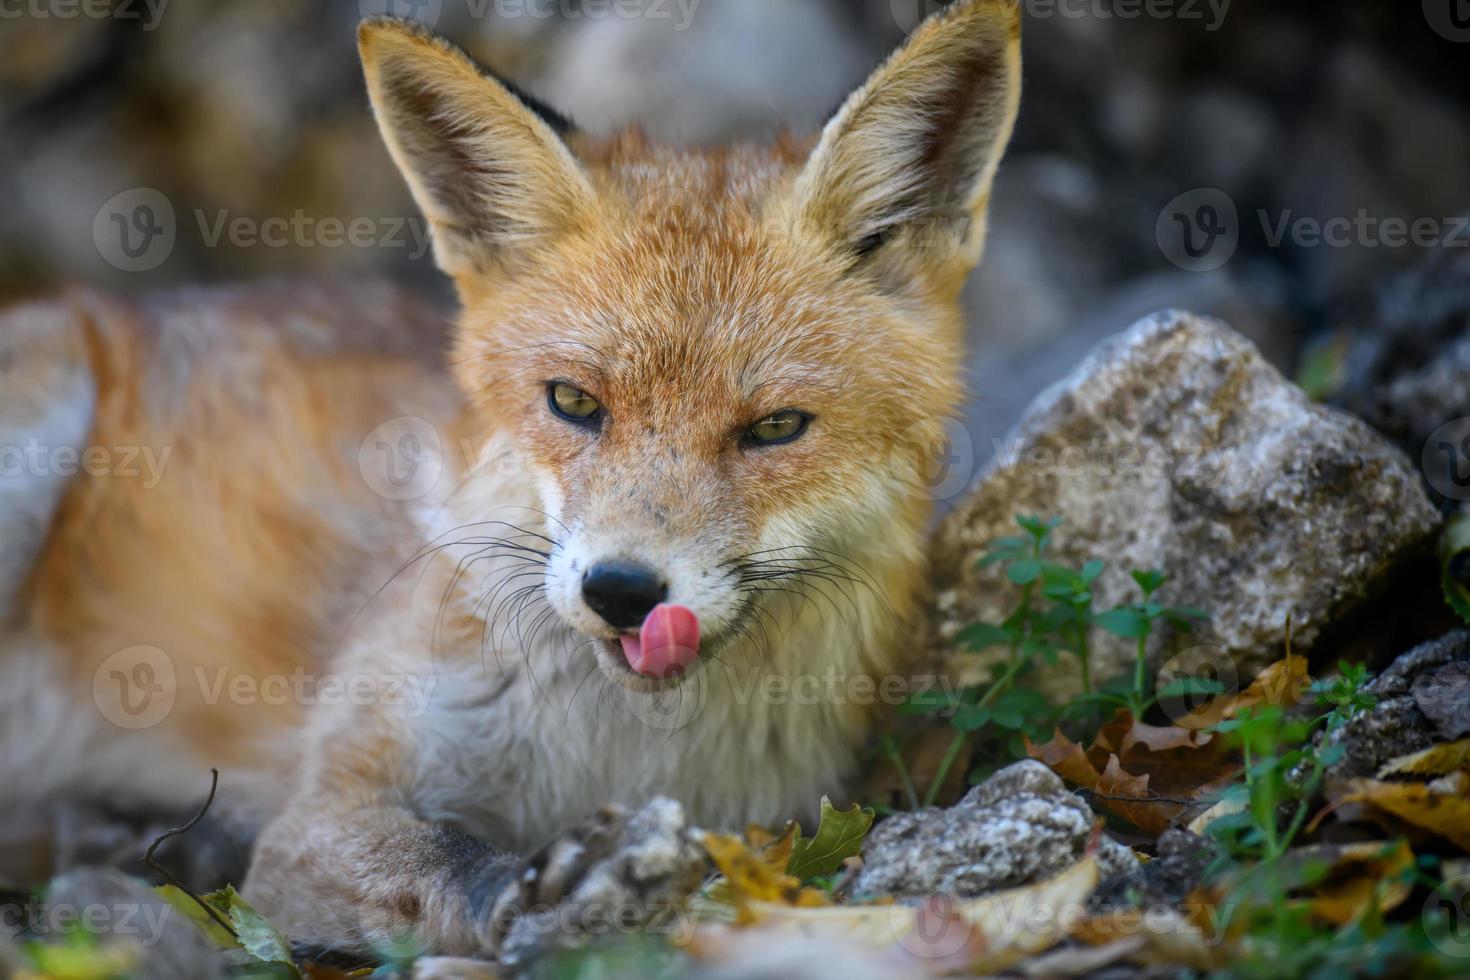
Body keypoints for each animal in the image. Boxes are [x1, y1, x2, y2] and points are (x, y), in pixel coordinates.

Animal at [2, 0, 1023, 963]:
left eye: (775, 427)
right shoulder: (320, 816)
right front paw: (542, 893)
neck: (609, 753)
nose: (621, 591)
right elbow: (446, 858)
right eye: (572, 402)